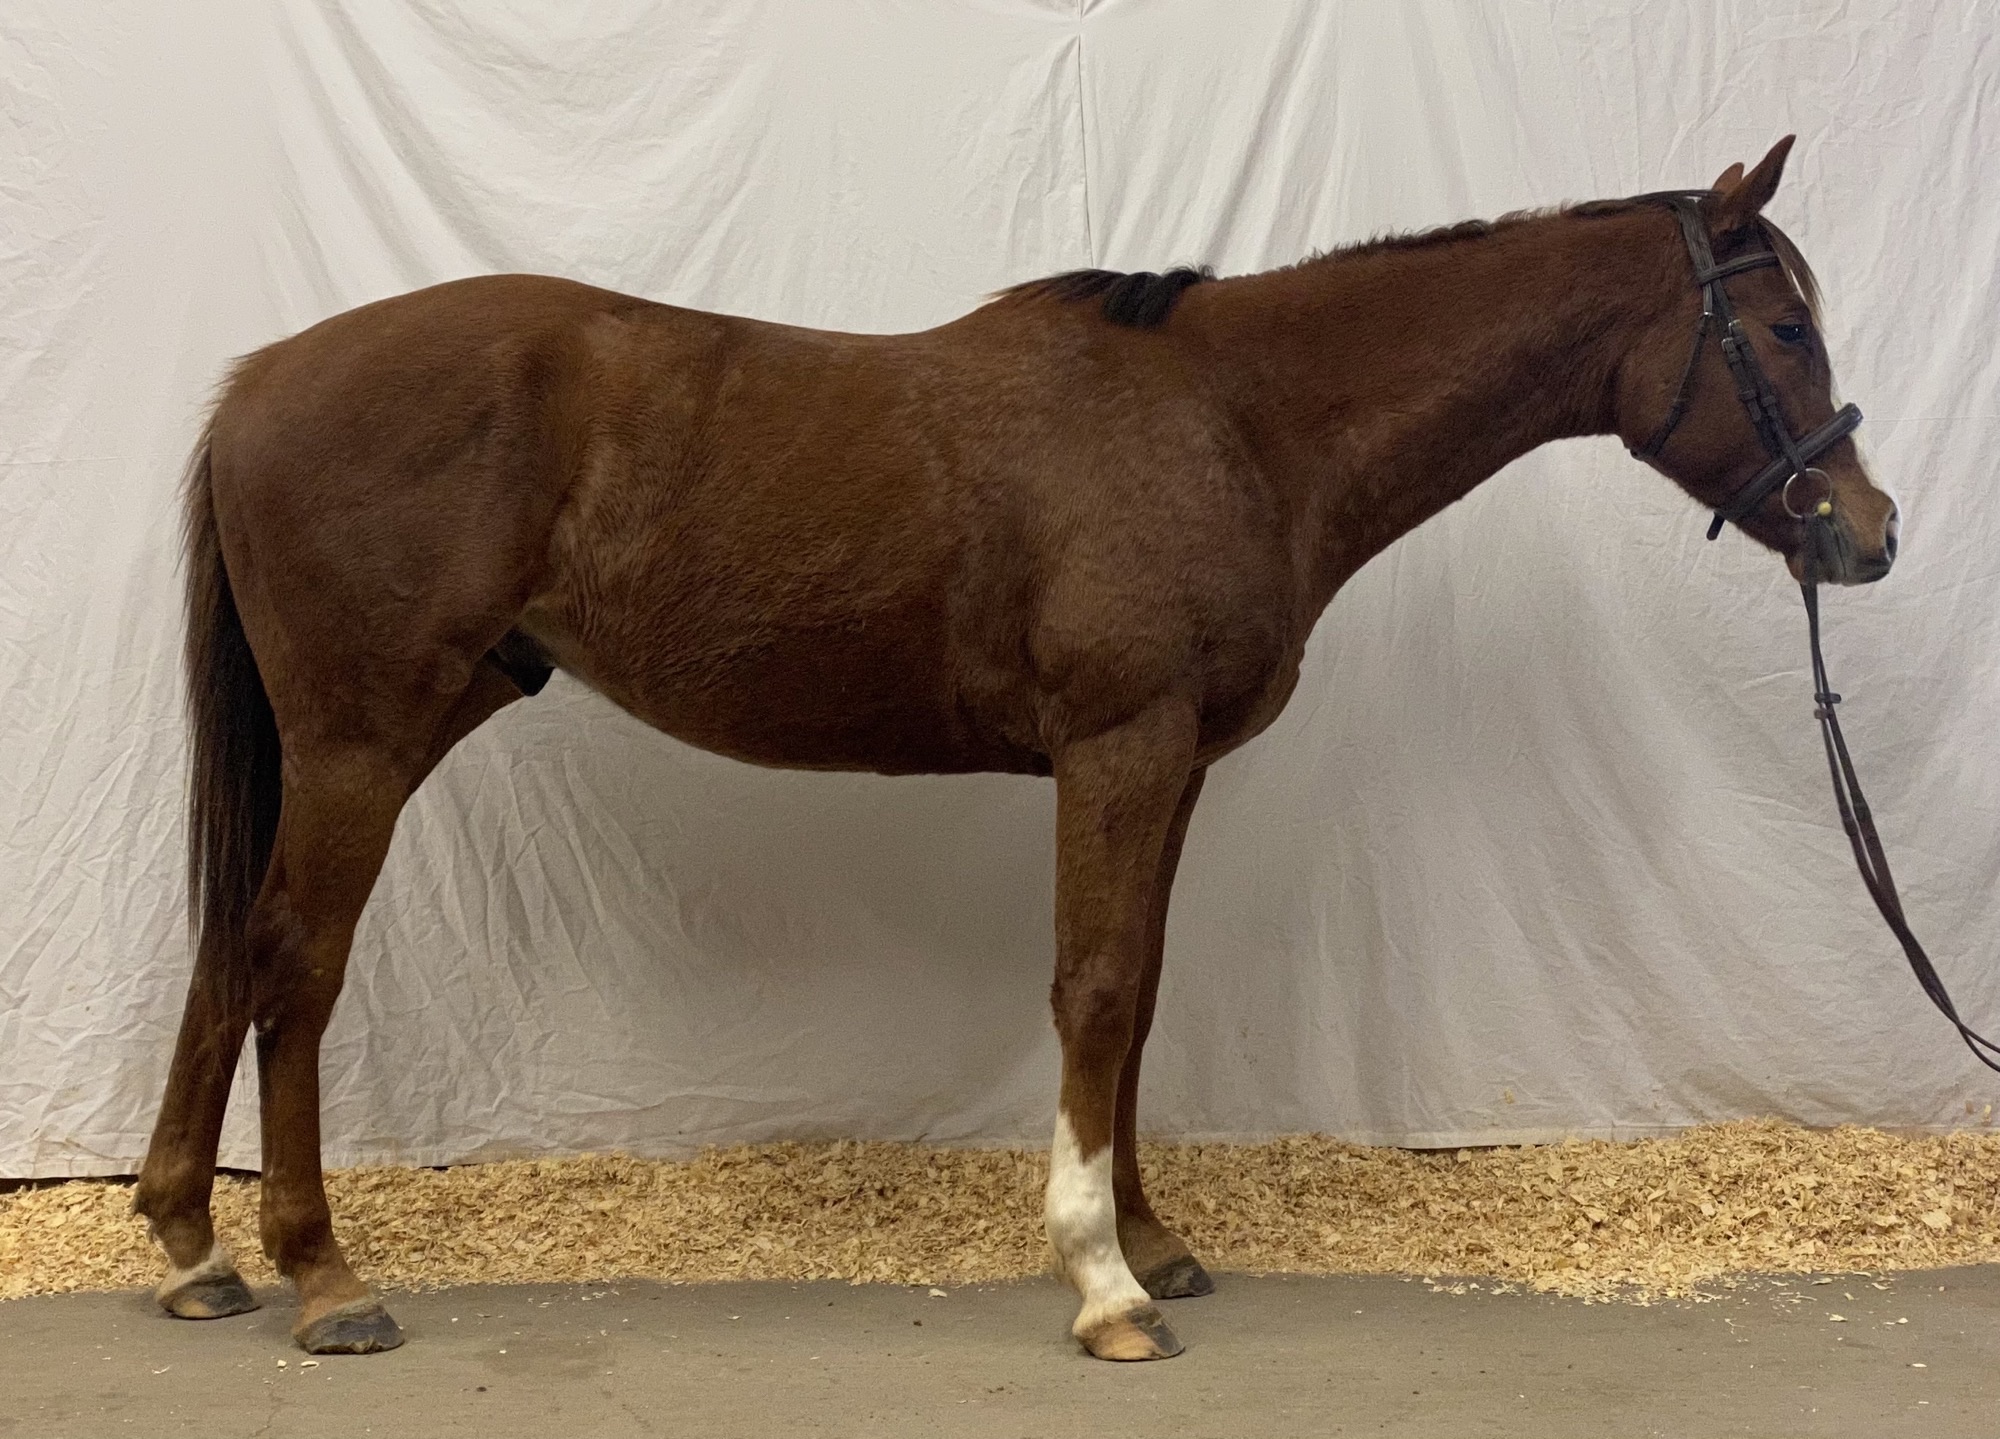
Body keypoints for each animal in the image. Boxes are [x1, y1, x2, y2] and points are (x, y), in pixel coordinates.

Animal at [132, 136, 1896, 1361]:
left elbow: (1146, 988)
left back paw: (197, 1248)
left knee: (230, 946)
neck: (1237, 420)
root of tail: (259, 379)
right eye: (1780, 328)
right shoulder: (1122, 743)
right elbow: (1097, 988)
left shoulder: (1177, 761)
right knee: (294, 958)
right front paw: (1104, 1280)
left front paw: (1155, 1236)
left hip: (368, 729)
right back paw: (322, 1275)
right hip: (364, 735)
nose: (1867, 533)